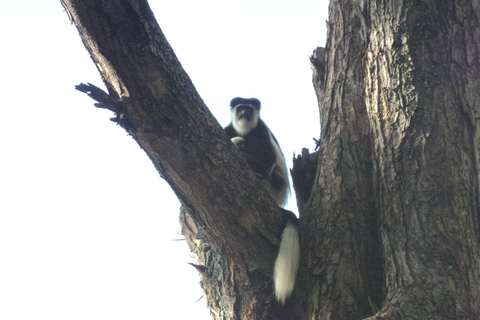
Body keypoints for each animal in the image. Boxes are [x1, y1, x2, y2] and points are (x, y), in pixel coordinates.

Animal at [225, 97, 300, 302]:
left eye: (249, 109)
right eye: (240, 109)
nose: (244, 114)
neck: (244, 131)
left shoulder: (260, 132)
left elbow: (266, 161)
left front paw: (240, 148)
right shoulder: (228, 129)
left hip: (273, 186)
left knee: (270, 174)